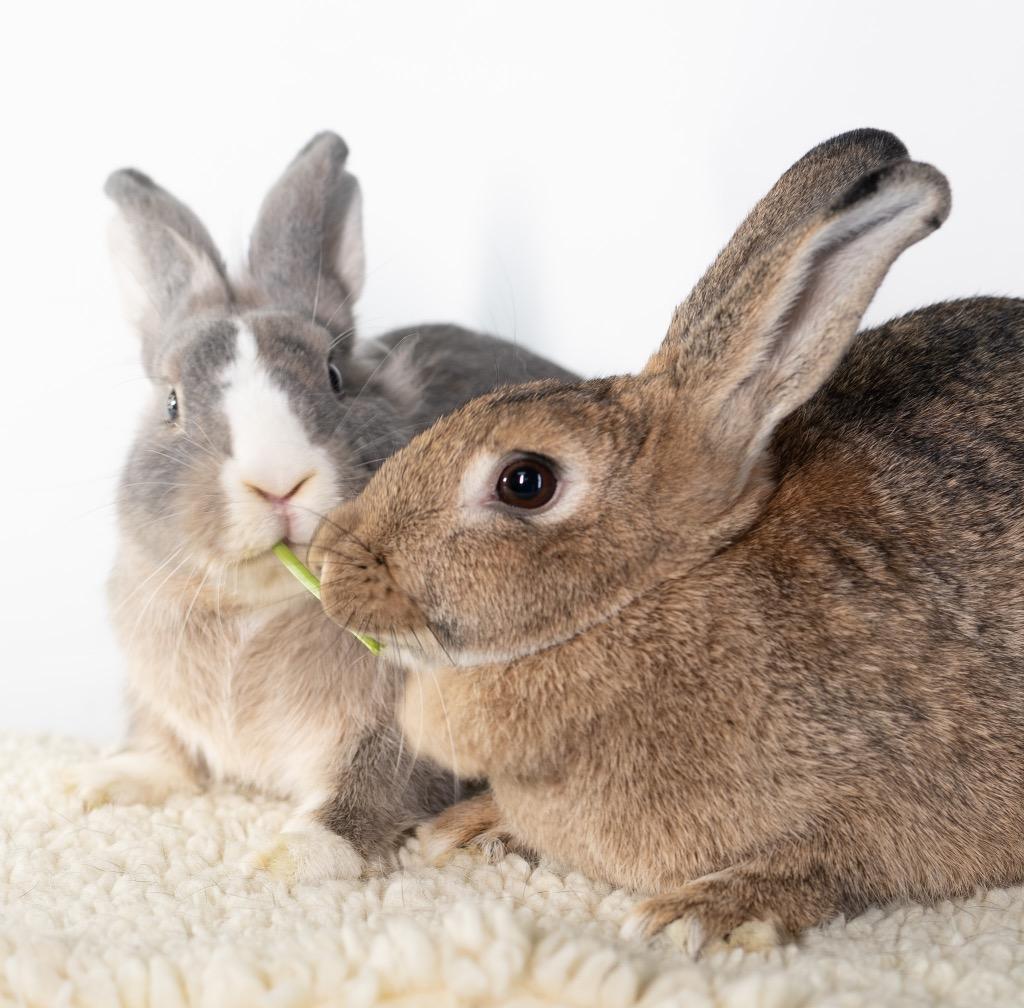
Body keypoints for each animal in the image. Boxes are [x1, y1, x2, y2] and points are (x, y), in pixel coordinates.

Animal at [67, 131, 577, 882]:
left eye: (335, 378)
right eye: (172, 404)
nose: (279, 481)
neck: (263, 603)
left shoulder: (404, 723)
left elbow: (365, 793)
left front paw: (286, 859)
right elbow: (166, 752)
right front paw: (101, 781)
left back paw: (472, 835)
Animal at [312, 126, 1024, 954]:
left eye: (525, 481)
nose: (328, 568)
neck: (647, 595)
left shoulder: (879, 805)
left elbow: (826, 866)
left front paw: (703, 912)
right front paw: (467, 828)